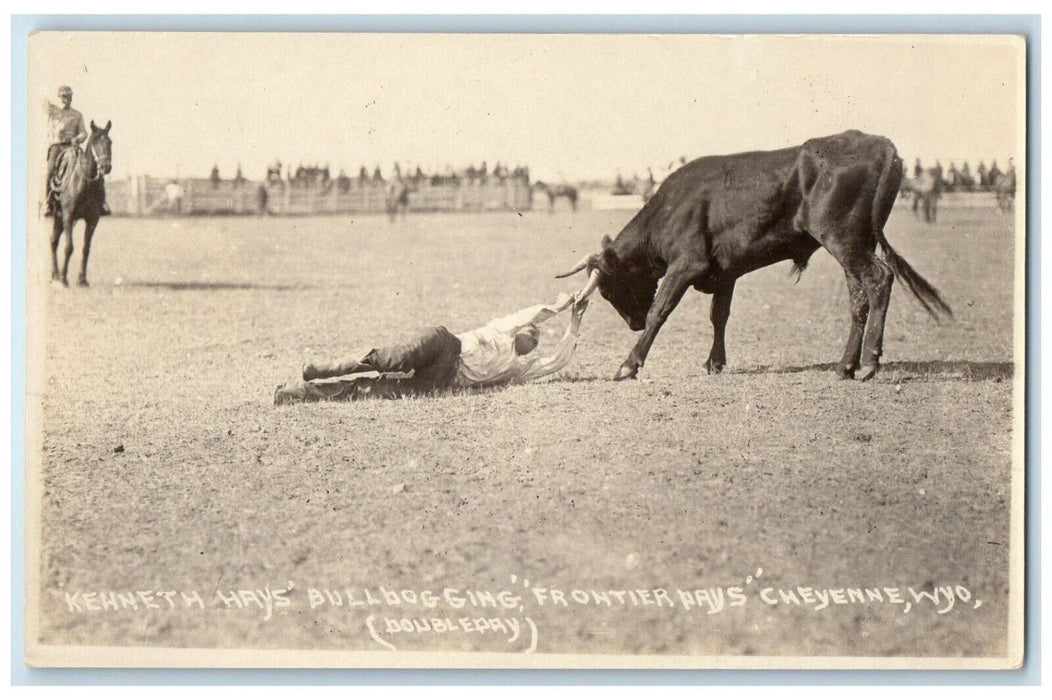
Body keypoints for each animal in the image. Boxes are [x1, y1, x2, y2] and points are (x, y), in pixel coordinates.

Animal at [49, 121, 112, 286]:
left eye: (110, 142)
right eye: (95, 142)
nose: (106, 167)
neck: (85, 182)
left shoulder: (93, 219)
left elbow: (86, 248)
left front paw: (82, 279)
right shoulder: (69, 216)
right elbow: (69, 247)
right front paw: (64, 279)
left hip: (60, 219)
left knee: (53, 241)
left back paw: (55, 275)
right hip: (60, 217)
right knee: (54, 242)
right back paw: (56, 275)